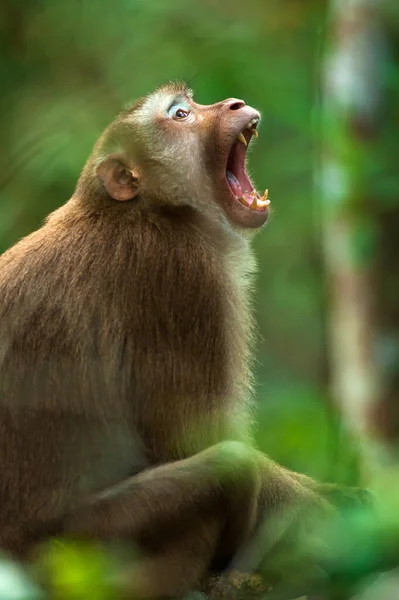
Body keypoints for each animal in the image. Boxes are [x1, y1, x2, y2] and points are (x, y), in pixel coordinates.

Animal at [0, 82, 368, 596]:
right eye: (180, 115)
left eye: (192, 102)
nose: (234, 104)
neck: (145, 209)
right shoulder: (183, 275)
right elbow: (189, 440)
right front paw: (334, 518)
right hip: (85, 545)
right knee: (230, 467)